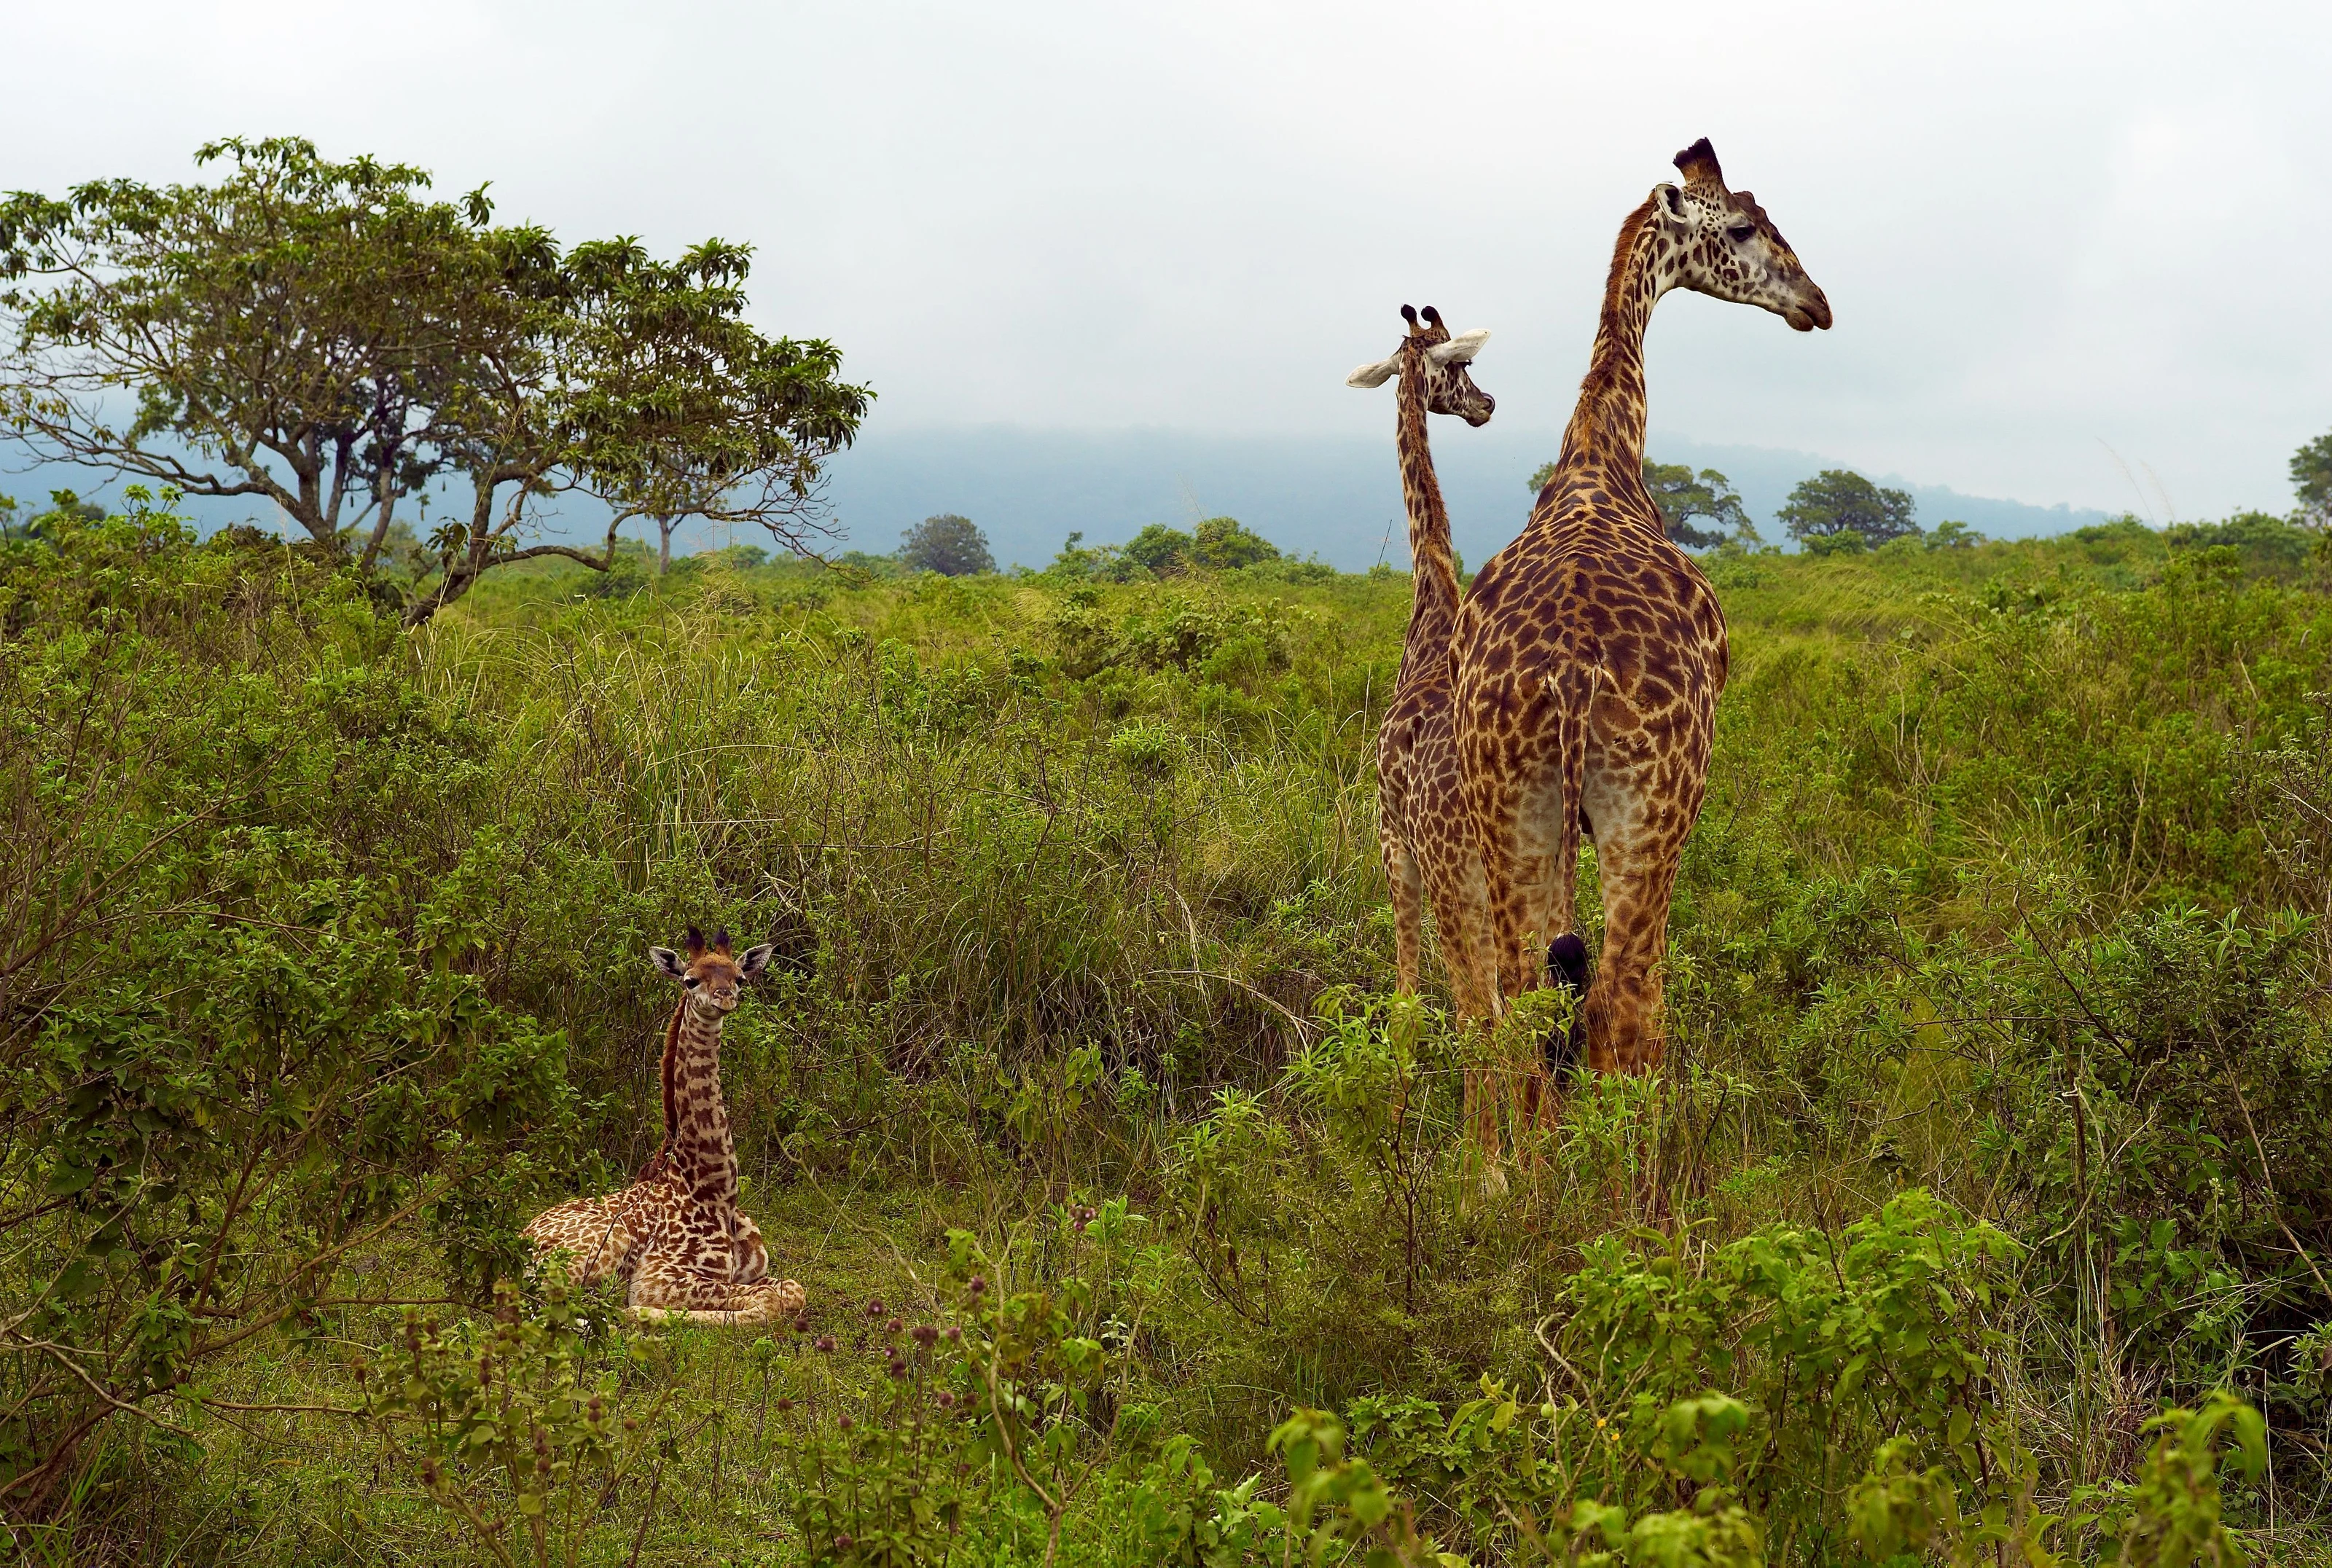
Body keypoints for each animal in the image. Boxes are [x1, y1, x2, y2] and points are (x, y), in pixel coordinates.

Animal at [521, 927, 805, 1323]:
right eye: (690, 980)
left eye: (739, 978)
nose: (725, 998)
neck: (715, 1190)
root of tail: (521, 1244)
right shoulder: (658, 1275)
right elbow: (768, 1301)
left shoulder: (754, 1270)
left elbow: (790, 1289)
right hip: (604, 1247)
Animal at [1451, 138, 1830, 1077]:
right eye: (1744, 225)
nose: (1815, 303)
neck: (1600, 452)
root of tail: (1571, 681)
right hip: (1652, 812)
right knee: (1625, 1006)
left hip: (1508, 807)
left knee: (1522, 1003)